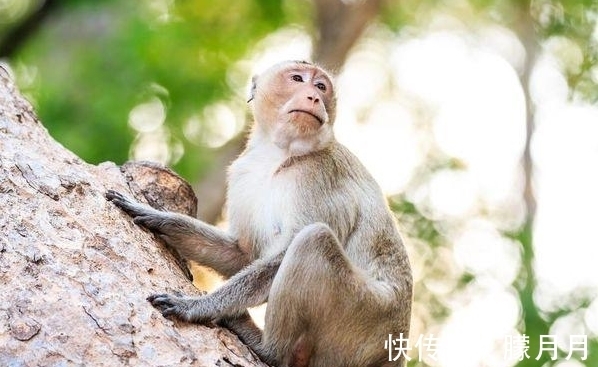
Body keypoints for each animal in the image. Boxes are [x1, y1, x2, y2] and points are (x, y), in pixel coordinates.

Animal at [106, 61, 412, 367]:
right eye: (298, 78)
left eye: (321, 86)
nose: (314, 97)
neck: (279, 155)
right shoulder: (242, 174)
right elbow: (243, 254)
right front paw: (159, 218)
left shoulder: (319, 176)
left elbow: (279, 256)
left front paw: (197, 306)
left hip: (362, 320)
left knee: (313, 240)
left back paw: (269, 350)